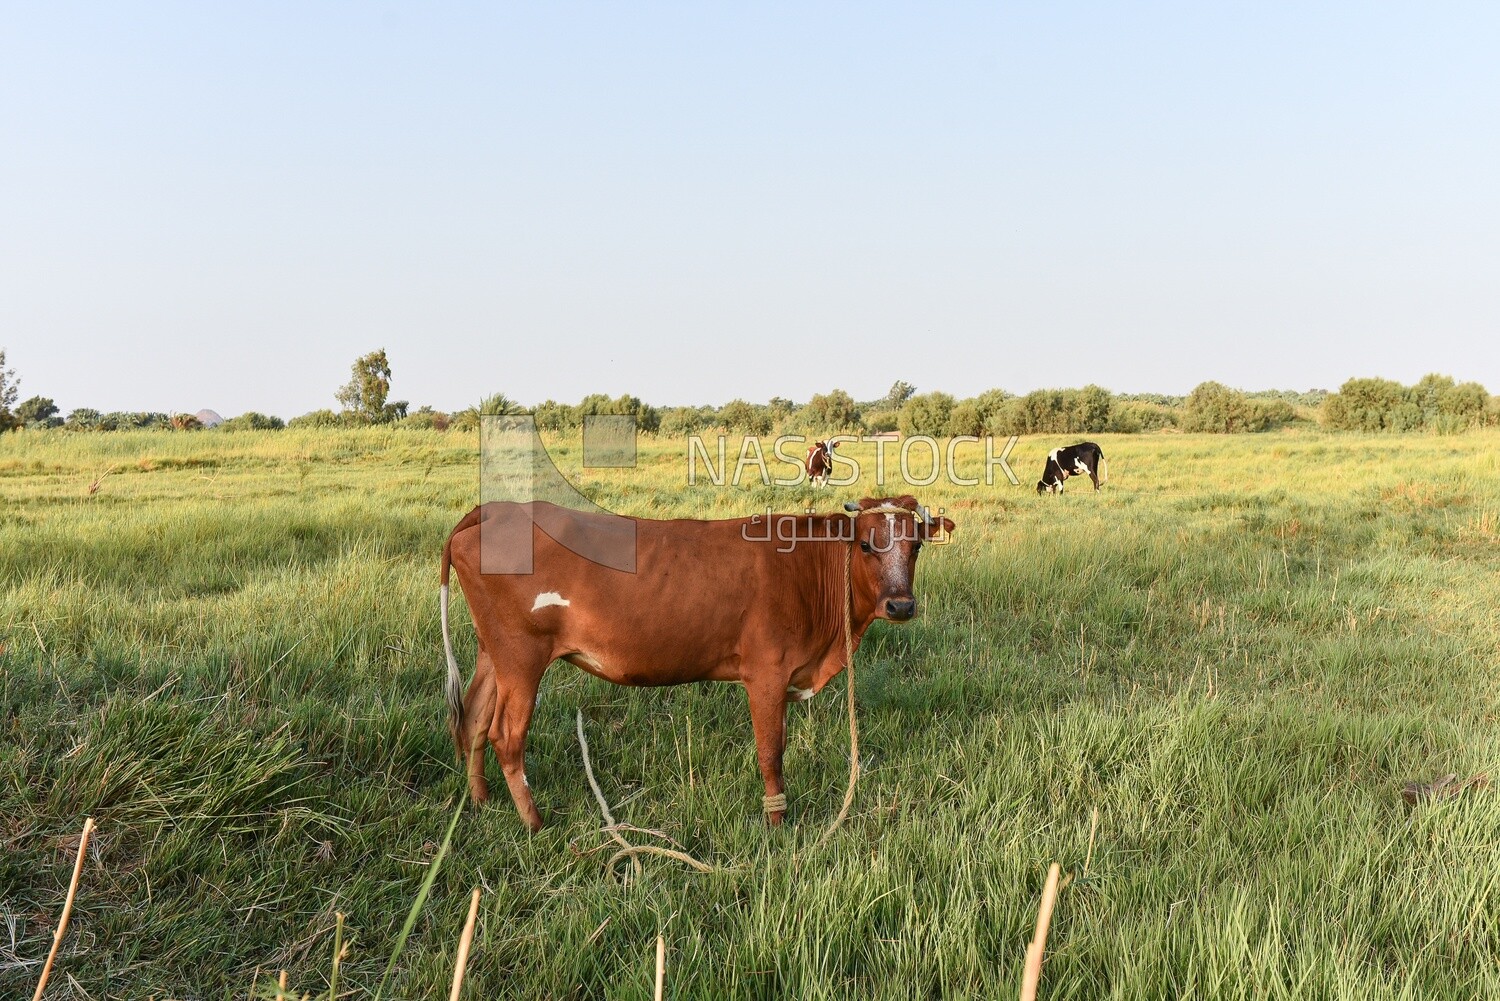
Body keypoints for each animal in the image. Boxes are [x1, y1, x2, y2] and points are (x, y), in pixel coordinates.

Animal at [438, 492, 954, 828]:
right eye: (866, 545)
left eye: (915, 546)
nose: (901, 606)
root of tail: (499, 509)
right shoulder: (767, 673)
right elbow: (771, 752)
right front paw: (778, 825)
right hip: (521, 656)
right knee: (506, 737)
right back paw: (535, 823)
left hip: (493, 653)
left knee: (474, 720)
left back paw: (481, 802)